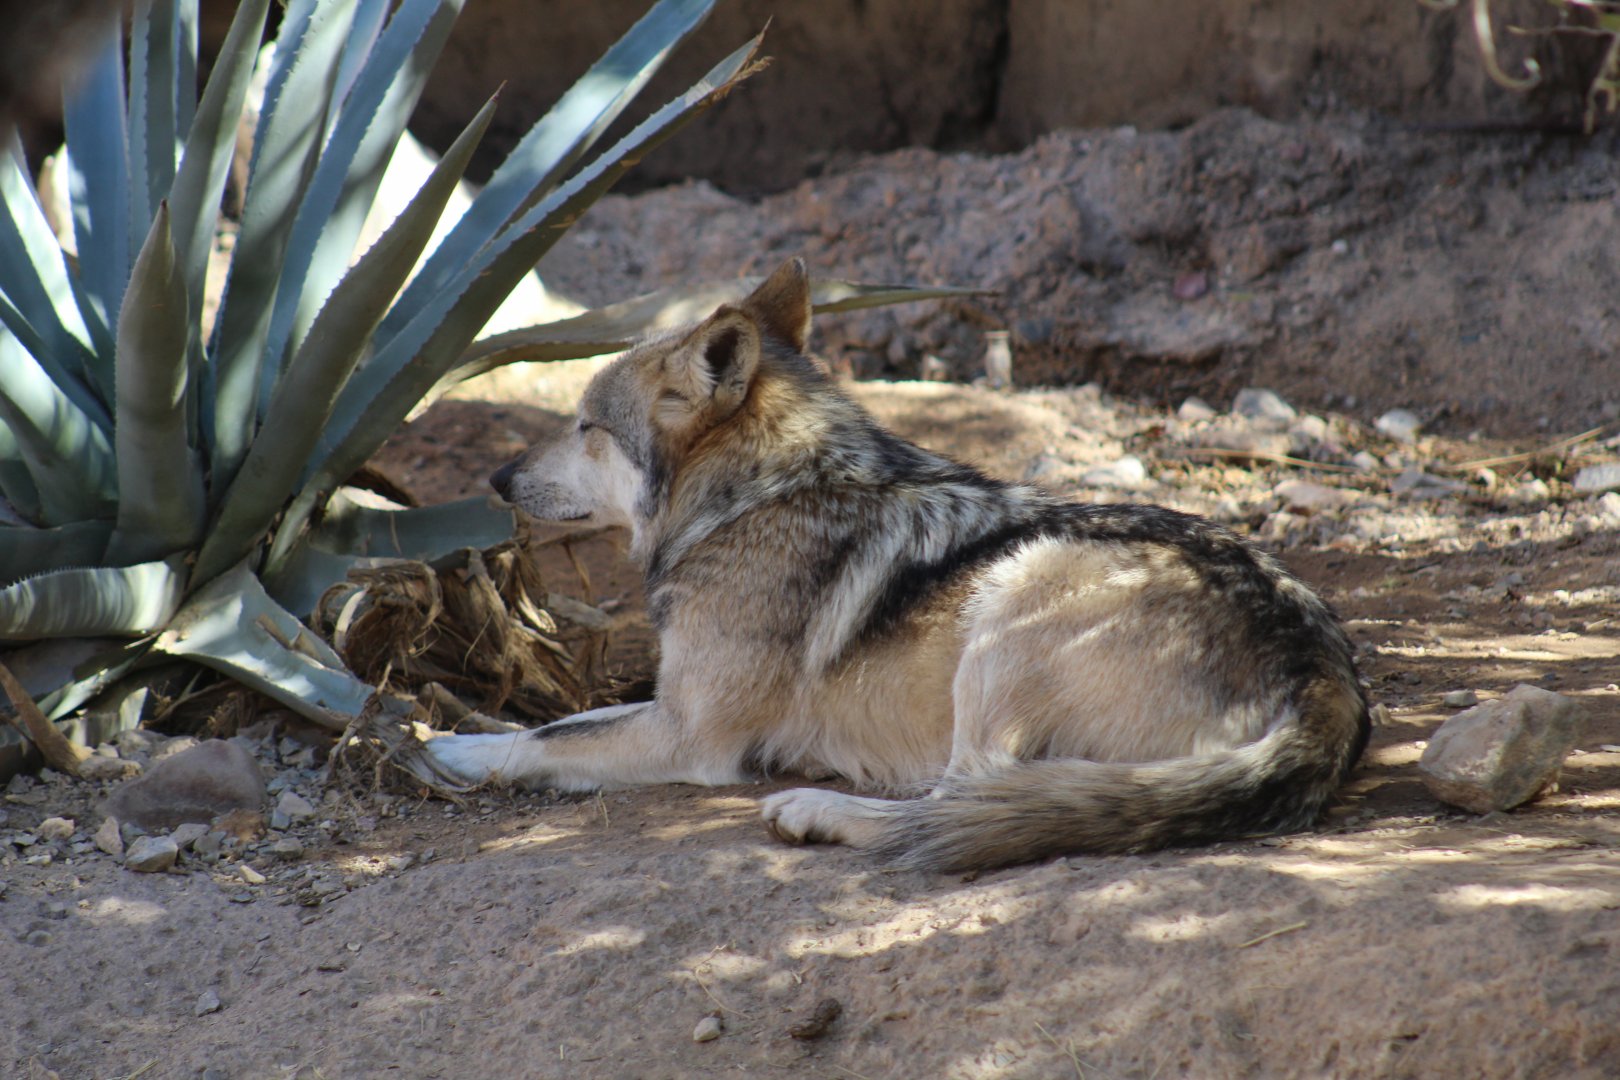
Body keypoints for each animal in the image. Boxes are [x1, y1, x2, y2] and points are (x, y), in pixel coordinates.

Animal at [423, 257, 1370, 871]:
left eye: (586, 425)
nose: (498, 480)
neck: (757, 498)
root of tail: (1321, 673)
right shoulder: (671, 698)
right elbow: (570, 717)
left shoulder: (689, 733)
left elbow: (544, 737)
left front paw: (450, 749)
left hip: (1013, 603)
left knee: (959, 806)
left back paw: (819, 810)